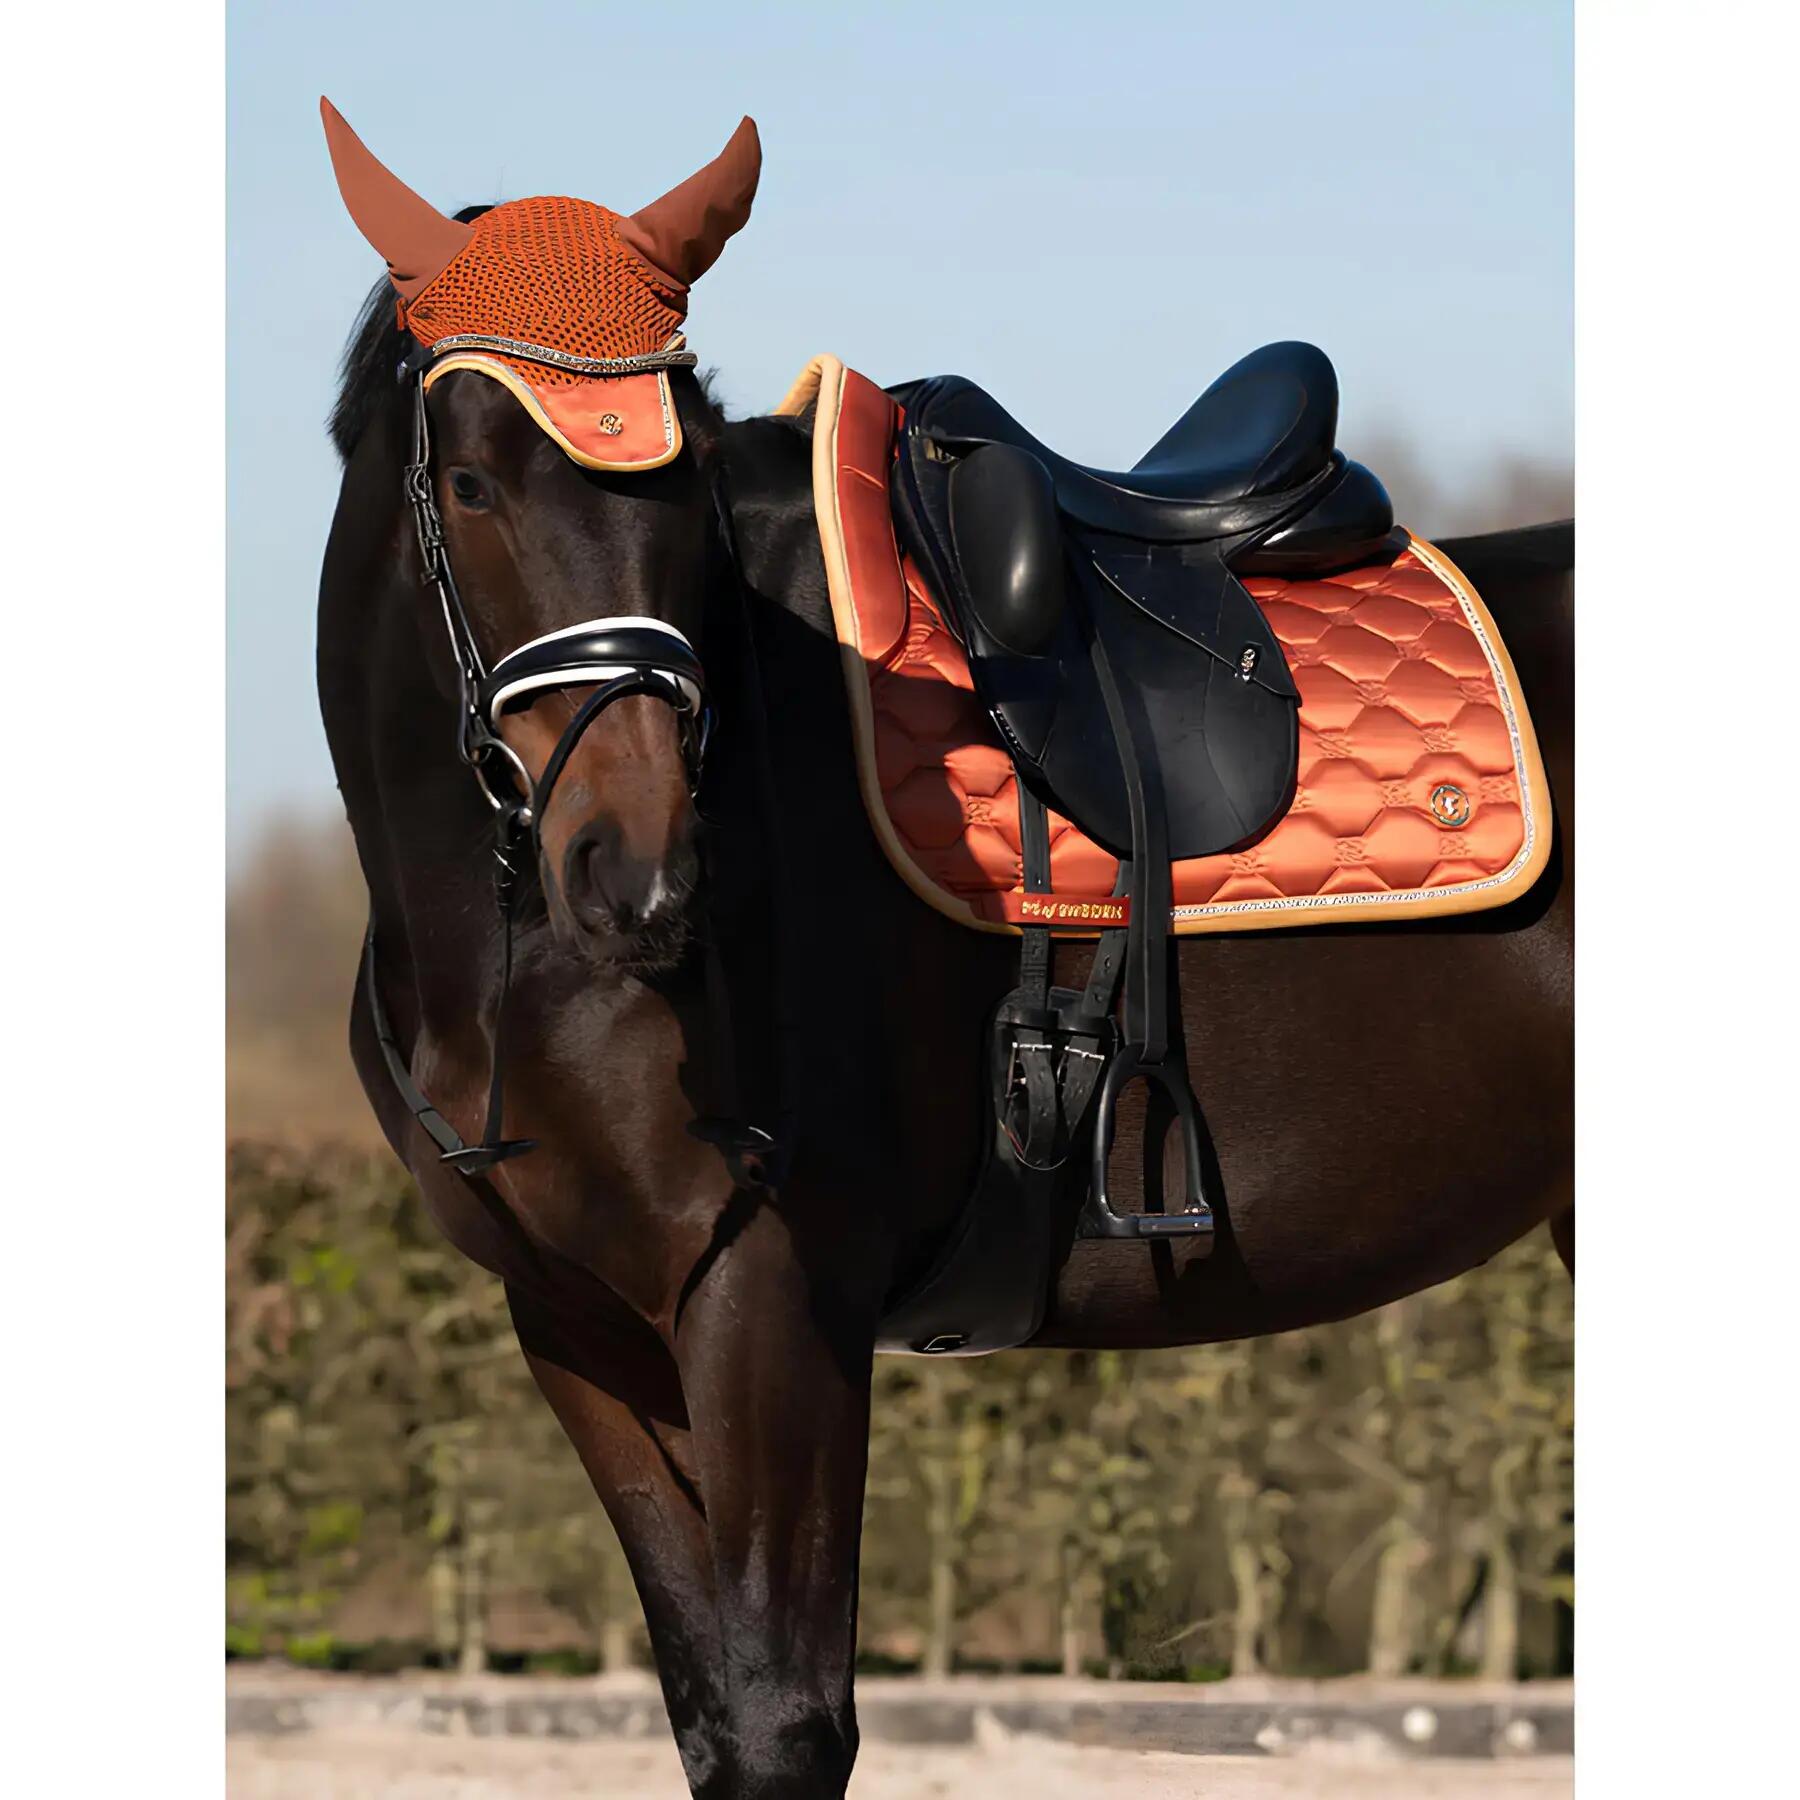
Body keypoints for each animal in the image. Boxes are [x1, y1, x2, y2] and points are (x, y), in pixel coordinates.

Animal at [316, 114, 1572, 1800]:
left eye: (685, 483)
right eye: (469, 480)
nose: (642, 876)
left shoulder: (770, 1303)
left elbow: (784, 1723)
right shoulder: (582, 1332)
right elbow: (710, 1711)